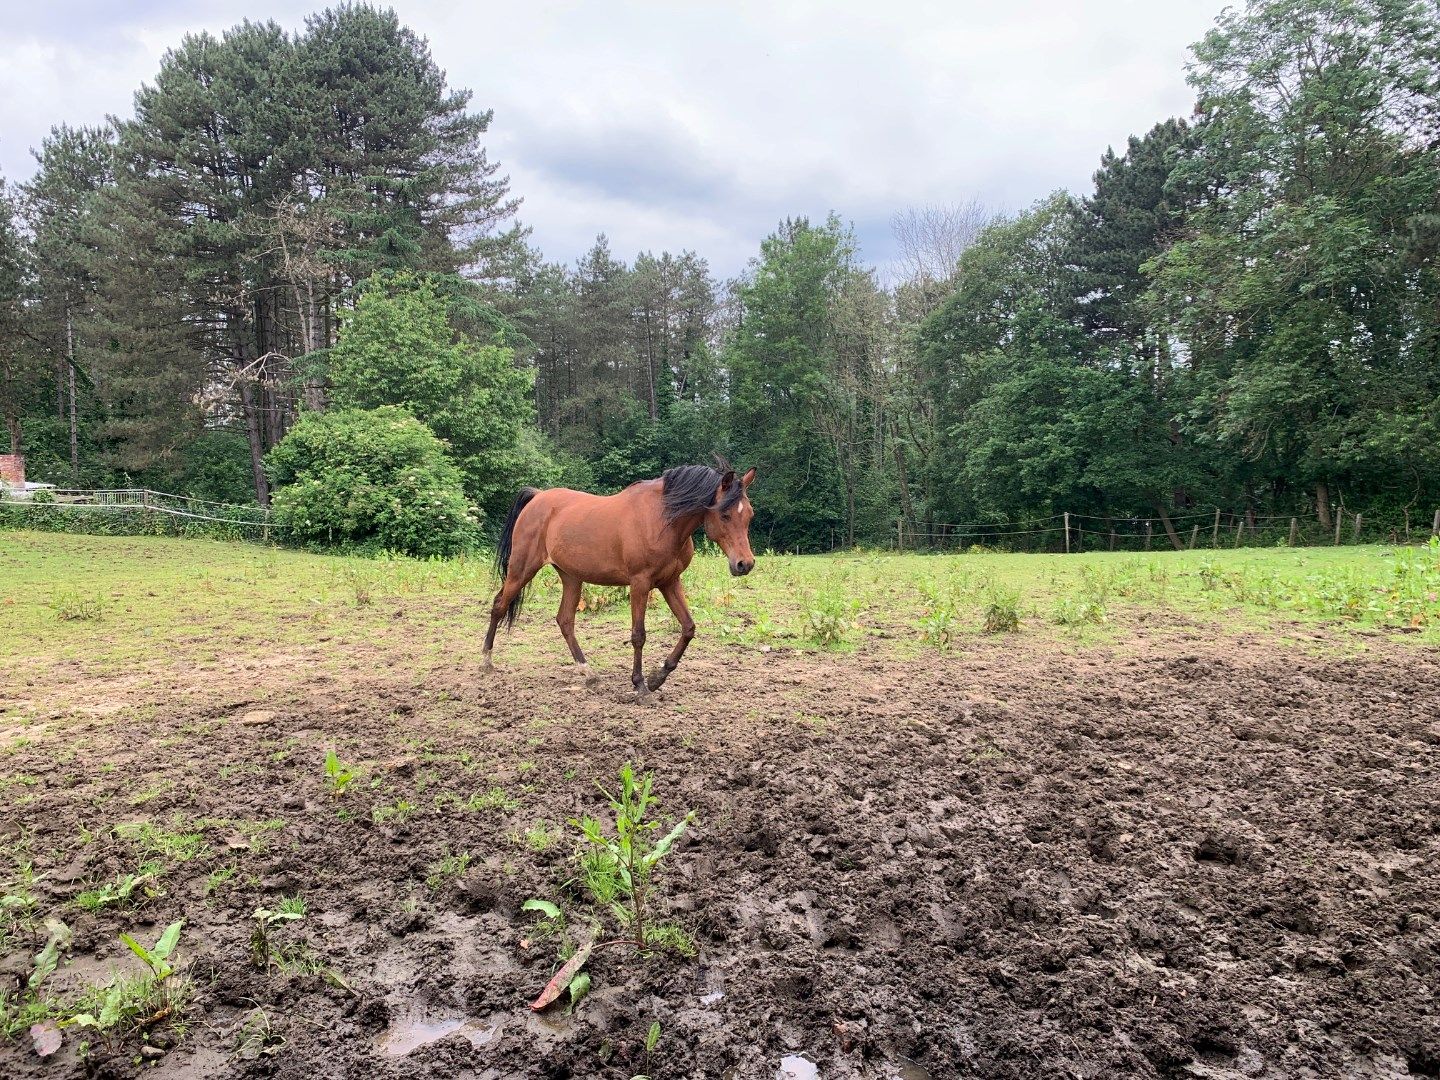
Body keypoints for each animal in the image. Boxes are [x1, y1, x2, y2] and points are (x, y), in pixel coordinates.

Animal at [480, 455, 754, 694]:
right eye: (725, 514)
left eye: (749, 514)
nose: (745, 564)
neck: (662, 520)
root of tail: (537, 497)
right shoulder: (640, 583)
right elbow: (638, 635)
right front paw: (640, 685)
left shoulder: (670, 581)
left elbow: (688, 628)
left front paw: (657, 677)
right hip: (521, 570)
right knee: (499, 605)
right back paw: (486, 661)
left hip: (571, 577)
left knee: (565, 620)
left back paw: (589, 674)